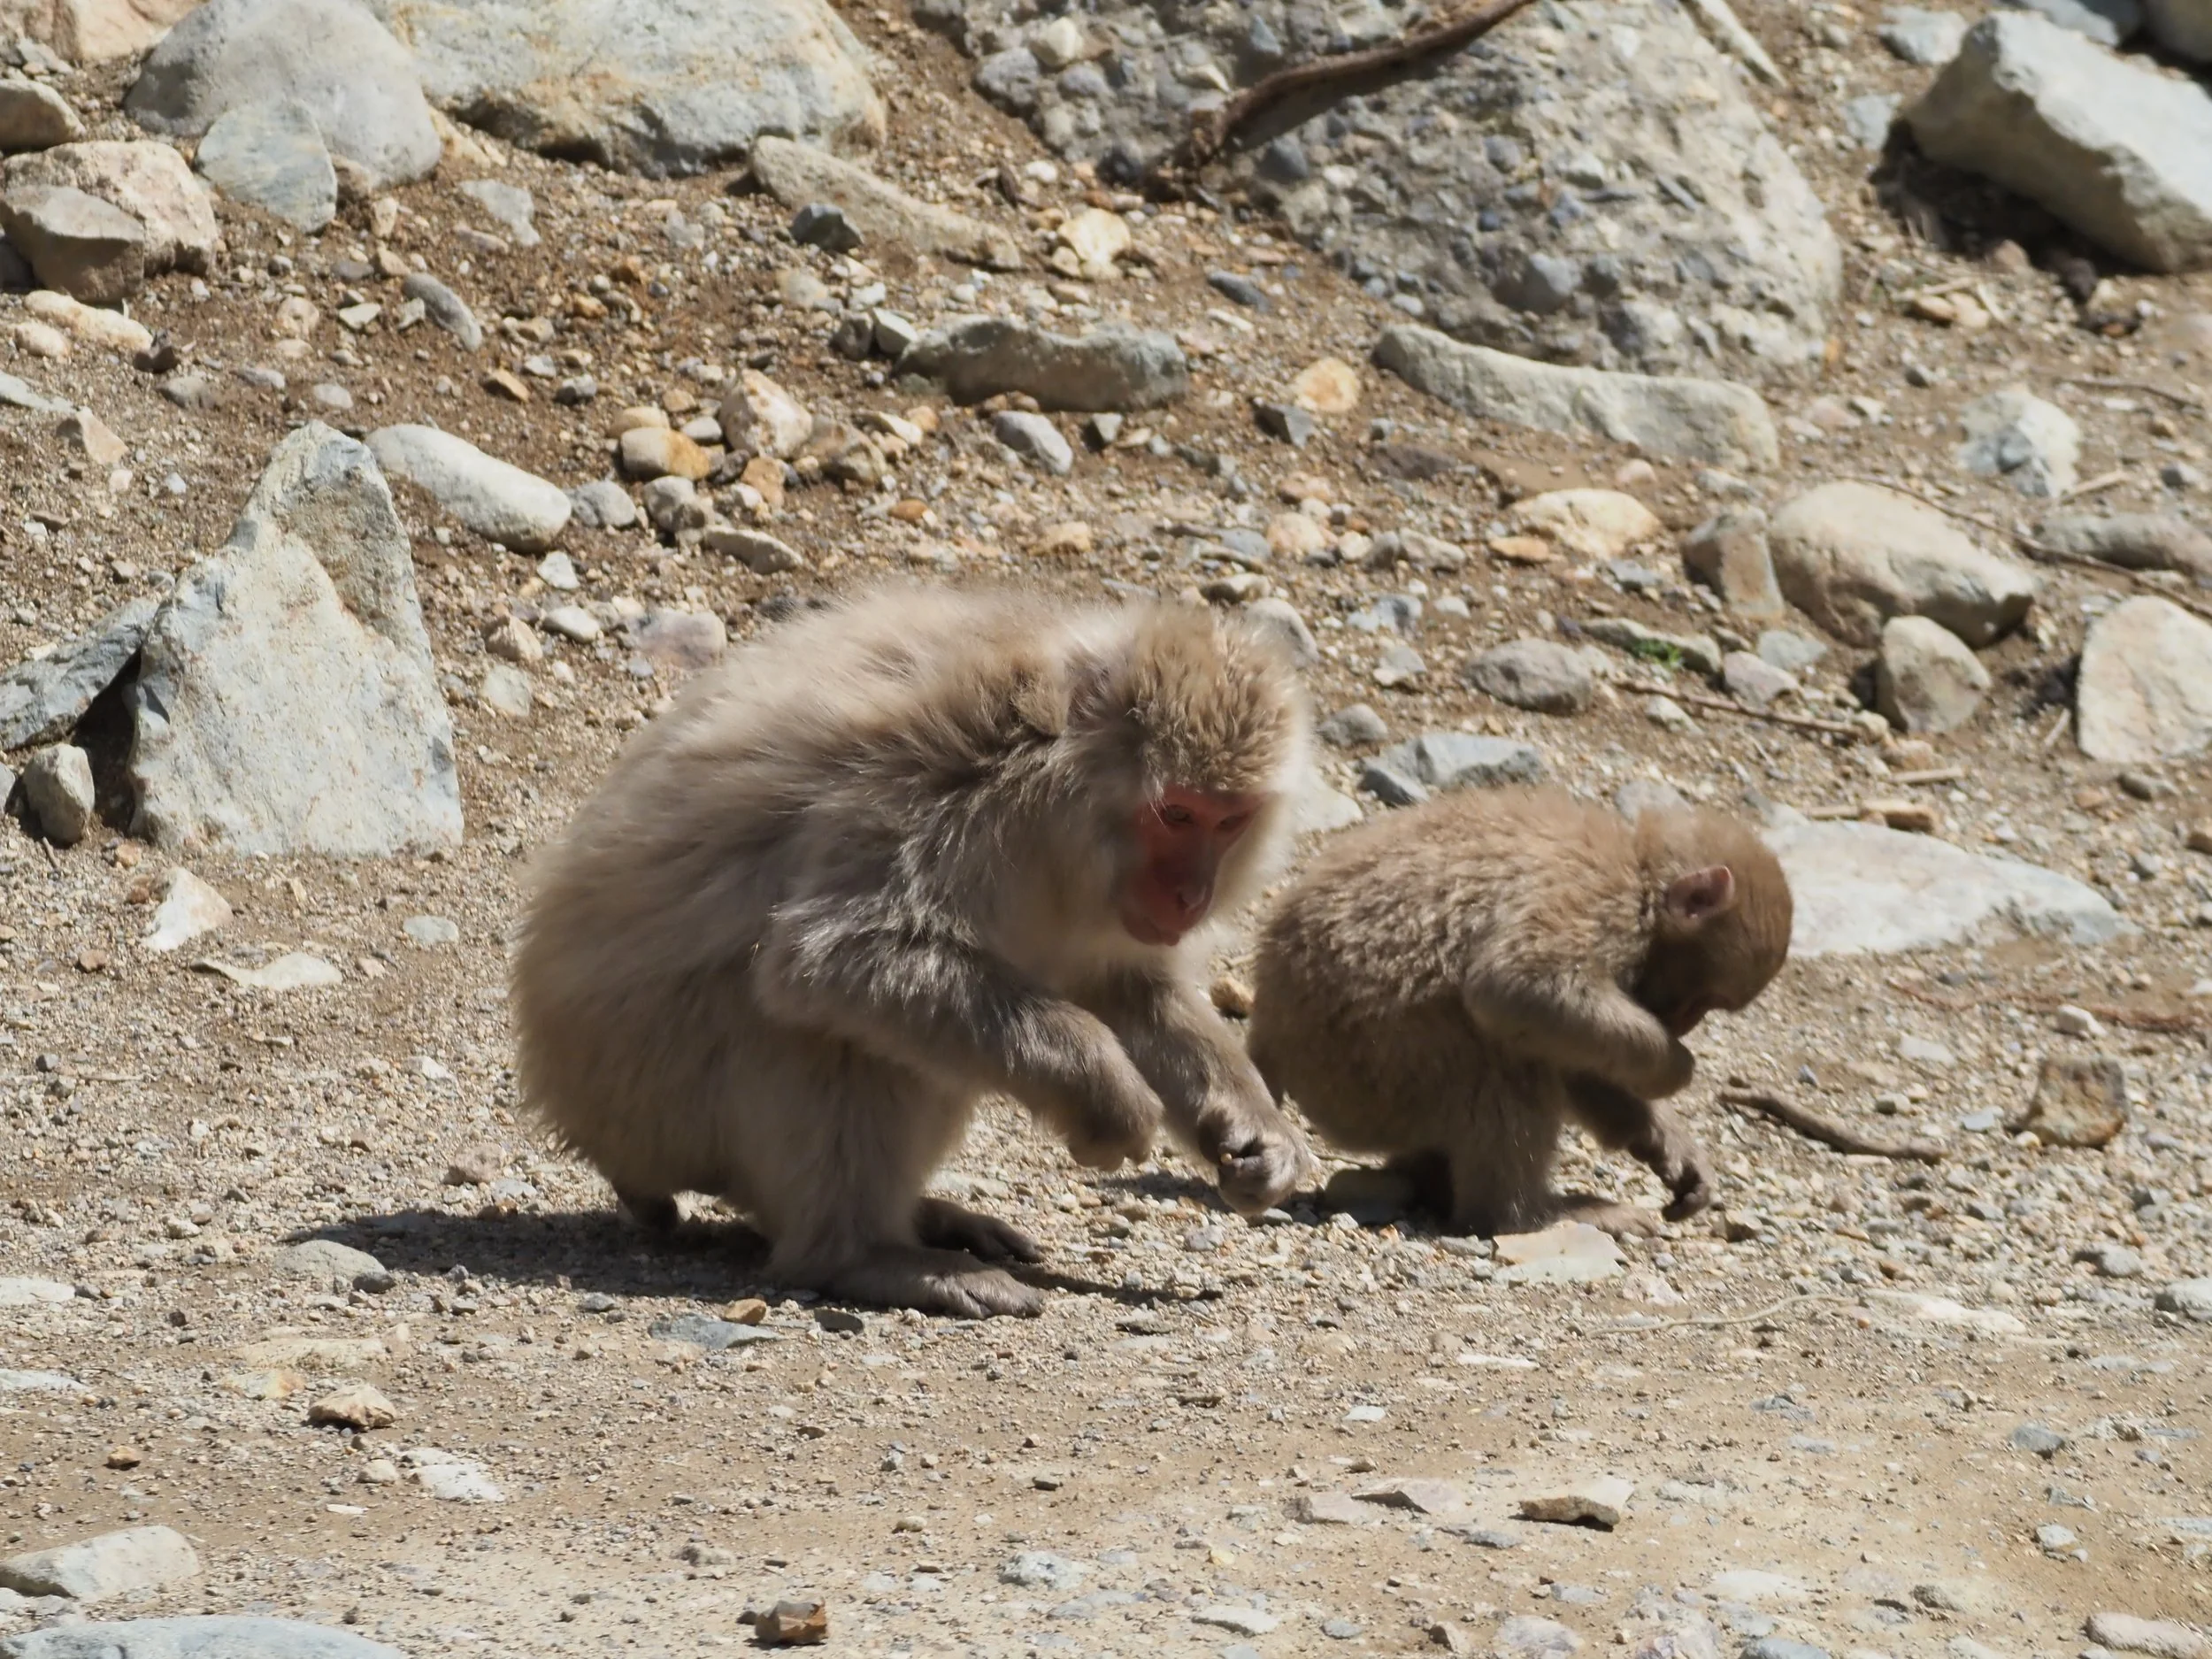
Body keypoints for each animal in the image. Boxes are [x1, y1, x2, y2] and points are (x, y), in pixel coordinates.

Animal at [510, 585, 1317, 1319]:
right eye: (1176, 813)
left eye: (1229, 821)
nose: (1191, 895)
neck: (1061, 774)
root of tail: (578, 1116)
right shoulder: (954, 786)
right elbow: (831, 952)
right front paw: (1105, 1092)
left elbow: (1119, 984)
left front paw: (1253, 1129)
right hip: (651, 1095)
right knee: (830, 1036)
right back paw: (862, 1255)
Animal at [1247, 786, 1791, 1239]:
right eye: (1705, 1001)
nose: (1683, 1025)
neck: (1641, 873)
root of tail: (1266, 1032)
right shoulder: (1602, 905)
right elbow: (1515, 988)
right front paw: (1674, 1067)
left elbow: (1577, 1056)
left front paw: (1664, 1140)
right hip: (1363, 1077)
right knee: (1498, 1065)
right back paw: (1524, 1216)